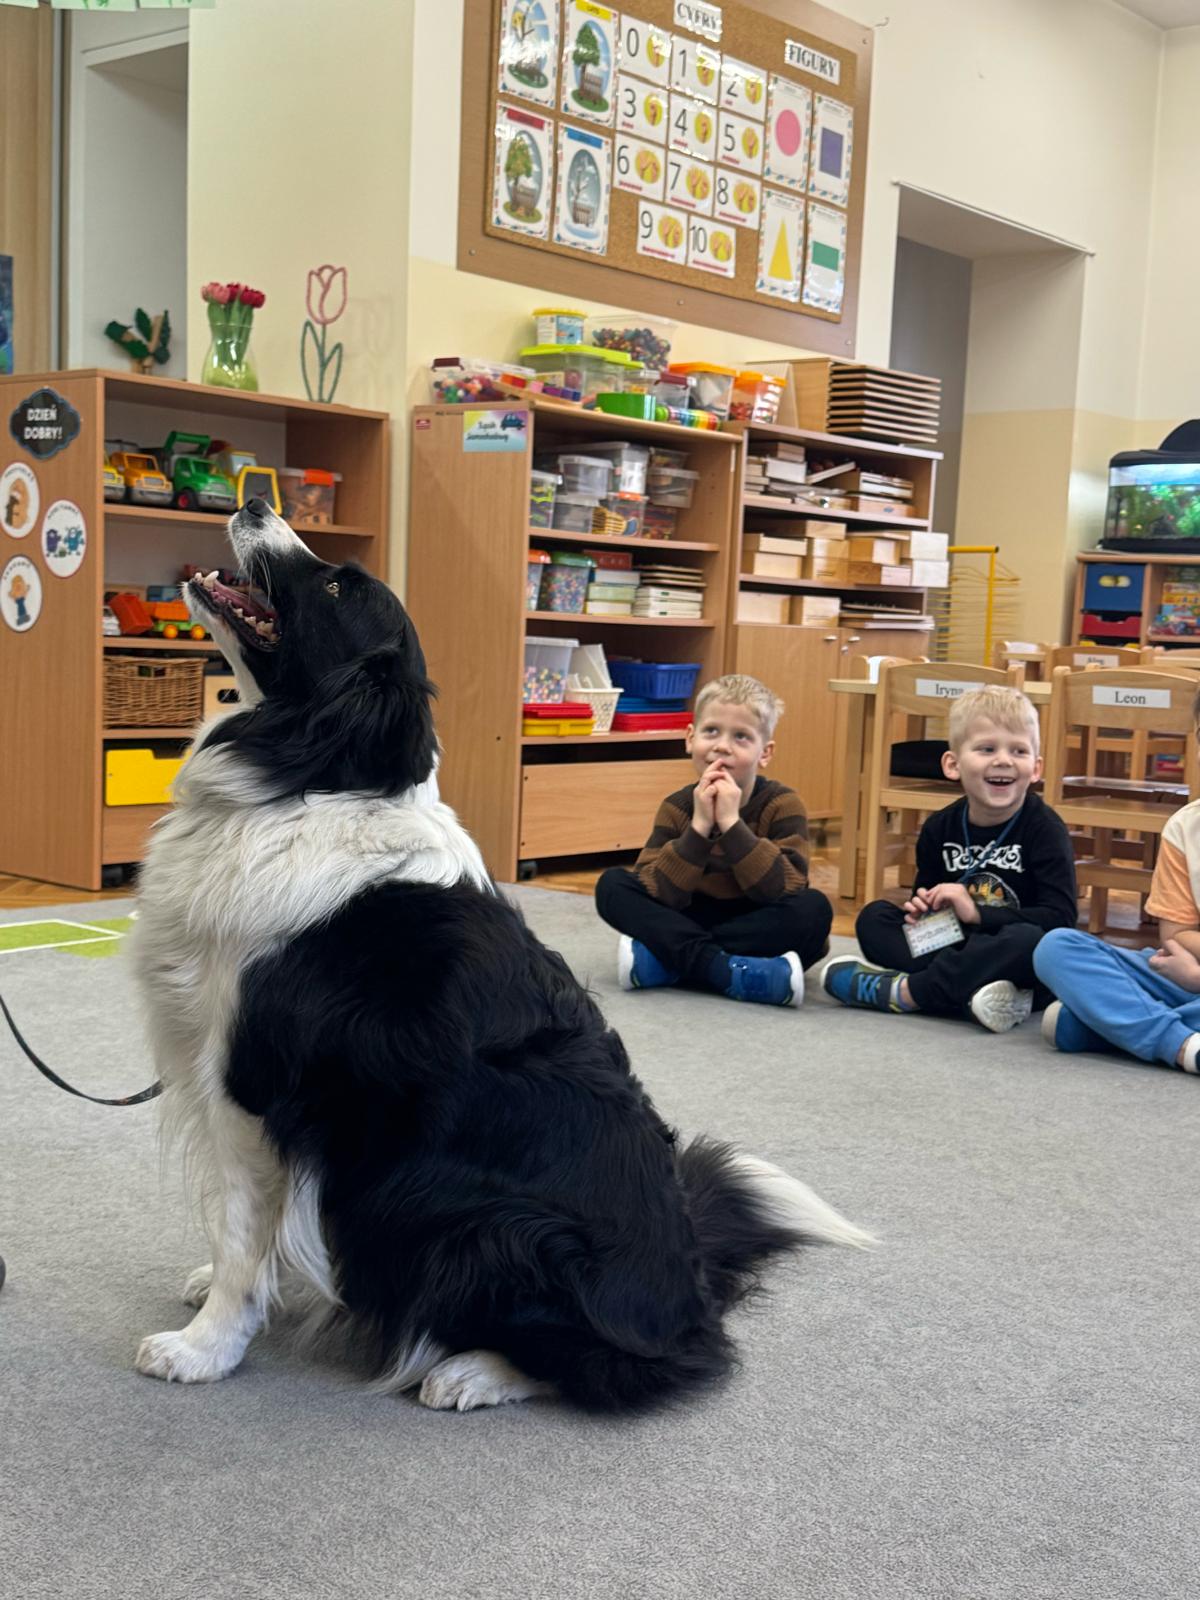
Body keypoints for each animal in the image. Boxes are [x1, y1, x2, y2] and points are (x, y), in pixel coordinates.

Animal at [130, 499, 871, 1412]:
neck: (310, 779)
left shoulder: (249, 1083)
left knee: (619, 1365)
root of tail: (691, 1279)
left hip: (477, 1218)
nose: (255, 503)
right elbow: (244, 1237)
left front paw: (206, 1348)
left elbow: (239, 1230)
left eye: (339, 586)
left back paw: (471, 1370)